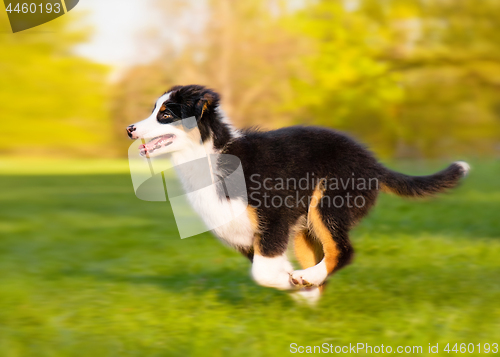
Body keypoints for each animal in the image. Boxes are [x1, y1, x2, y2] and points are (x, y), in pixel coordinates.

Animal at [127, 84, 470, 304]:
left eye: (166, 115)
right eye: (154, 110)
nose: (130, 129)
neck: (210, 154)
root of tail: (372, 162)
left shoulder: (274, 217)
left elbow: (263, 273)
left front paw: (295, 282)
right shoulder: (245, 234)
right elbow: (267, 267)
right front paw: (300, 289)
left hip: (327, 204)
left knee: (343, 250)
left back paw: (309, 278)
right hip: (307, 228)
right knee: (325, 253)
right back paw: (311, 286)